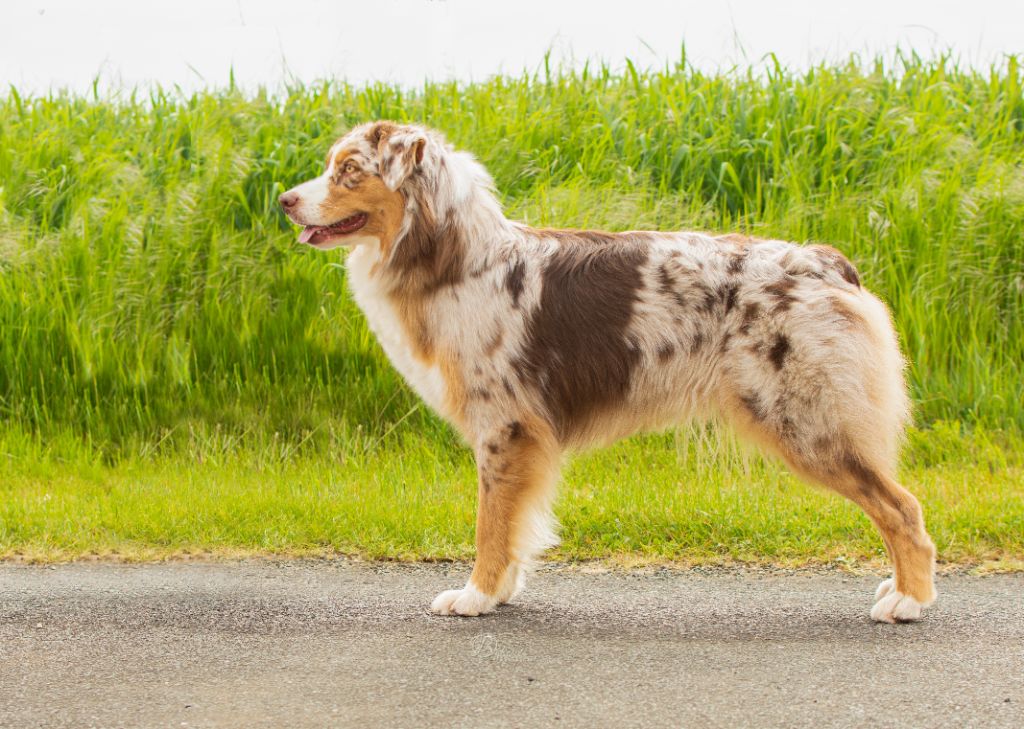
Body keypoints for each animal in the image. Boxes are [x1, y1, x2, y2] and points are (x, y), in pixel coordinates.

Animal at [280, 119, 937, 622]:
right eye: (333, 166)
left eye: (349, 170)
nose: (283, 200)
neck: (453, 257)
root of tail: (828, 263)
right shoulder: (524, 437)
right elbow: (516, 525)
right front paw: (502, 590)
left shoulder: (504, 427)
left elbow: (491, 524)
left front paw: (475, 596)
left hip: (807, 422)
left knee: (902, 507)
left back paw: (907, 600)